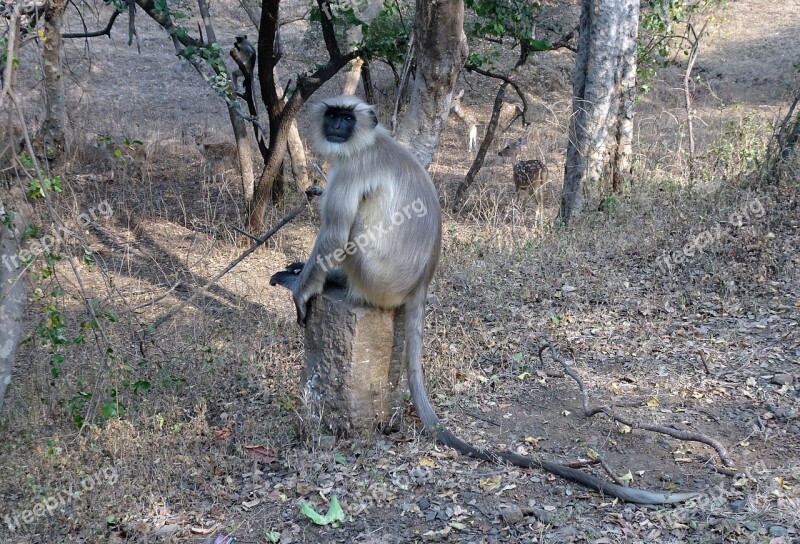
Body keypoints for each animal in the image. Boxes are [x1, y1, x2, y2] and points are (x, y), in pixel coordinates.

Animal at [268, 94, 692, 506]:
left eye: (346, 118)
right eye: (333, 116)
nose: (336, 126)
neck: (370, 141)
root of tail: (422, 281)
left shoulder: (352, 167)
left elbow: (334, 236)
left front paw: (302, 289)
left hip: (375, 277)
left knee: (350, 234)